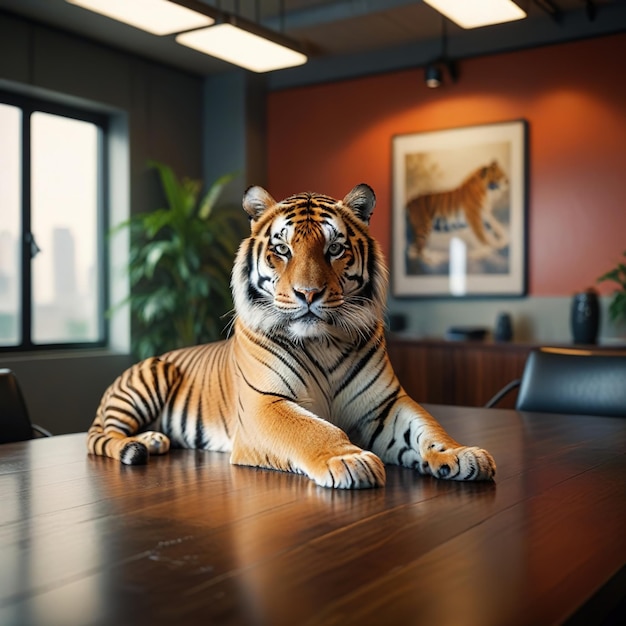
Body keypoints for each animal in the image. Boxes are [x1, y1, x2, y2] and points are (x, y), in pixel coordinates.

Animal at [85, 183, 494, 486]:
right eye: (282, 249)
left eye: (335, 248)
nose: (308, 294)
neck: (324, 341)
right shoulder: (265, 404)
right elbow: (313, 430)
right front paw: (350, 460)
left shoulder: (385, 404)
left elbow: (428, 428)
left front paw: (462, 455)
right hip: (150, 378)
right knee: (100, 436)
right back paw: (141, 445)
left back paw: (152, 440)